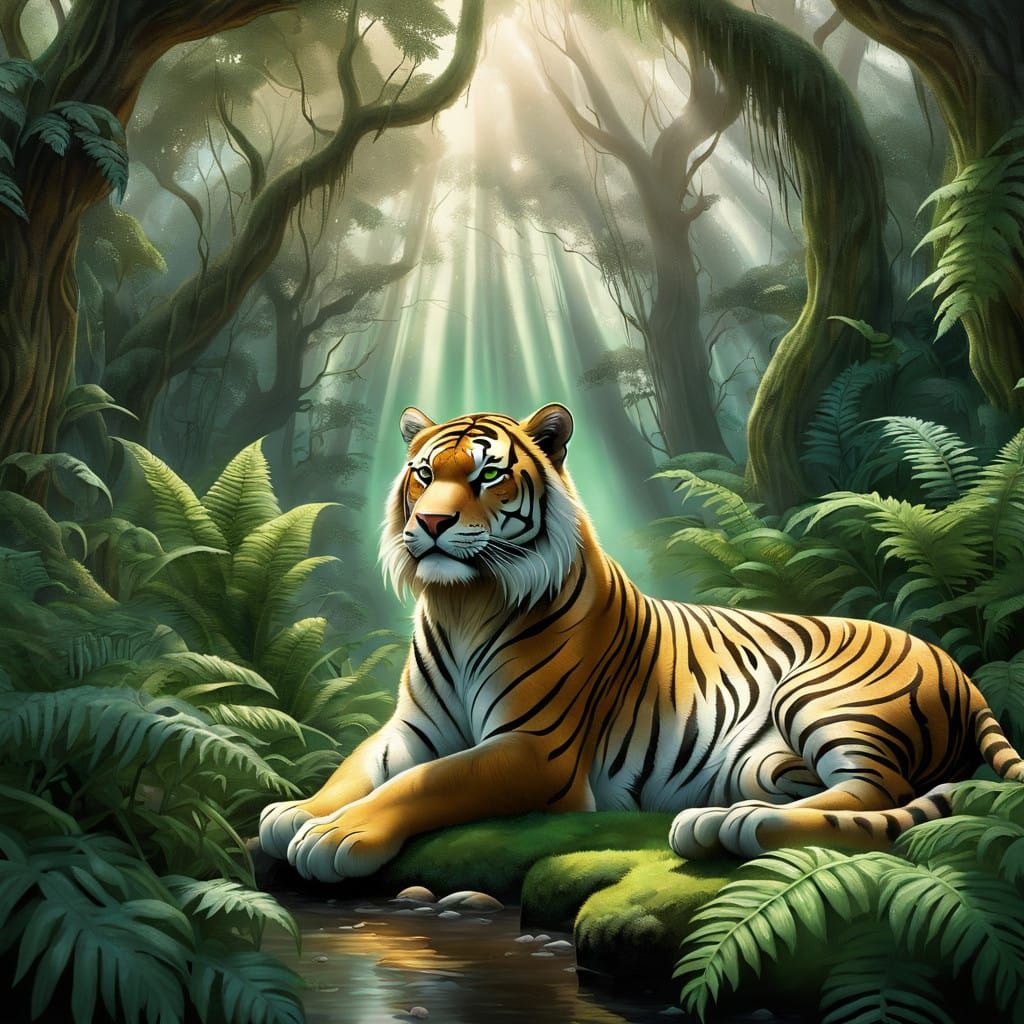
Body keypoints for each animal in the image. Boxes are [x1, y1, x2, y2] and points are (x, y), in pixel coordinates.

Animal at [259, 403, 1024, 883]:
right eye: (424, 474)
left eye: (487, 474)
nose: (433, 523)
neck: (463, 604)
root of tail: (961, 670)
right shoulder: (411, 730)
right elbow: (360, 769)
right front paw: (296, 812)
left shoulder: (533, 750)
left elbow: (428, 782)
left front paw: (337, 836)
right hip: (767, 762)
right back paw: (721, 819)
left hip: (826, 697)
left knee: (879, 789)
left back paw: (730, 825)